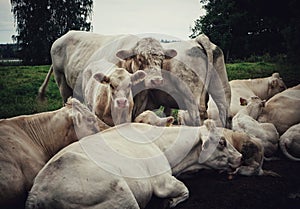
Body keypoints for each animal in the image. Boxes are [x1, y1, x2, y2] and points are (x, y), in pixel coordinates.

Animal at [25, 120, 241, 208]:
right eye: (222, 142)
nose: (240, 157)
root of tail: (37, 194)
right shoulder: (162, 182)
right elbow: (185, 190)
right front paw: (169, 202)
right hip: (123, 195)